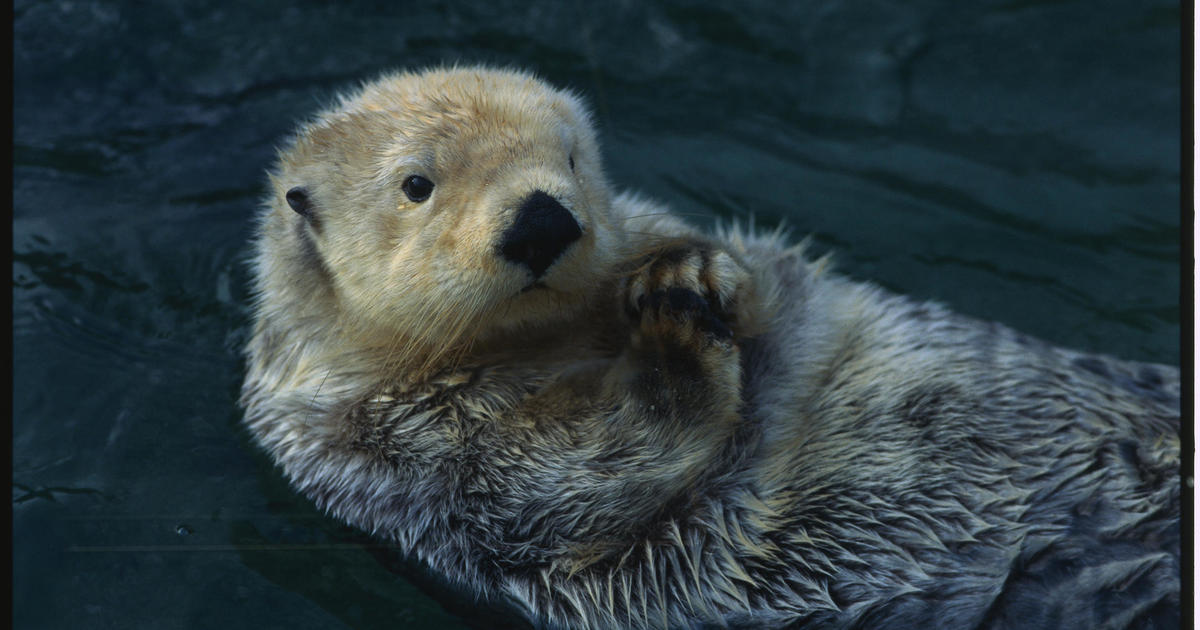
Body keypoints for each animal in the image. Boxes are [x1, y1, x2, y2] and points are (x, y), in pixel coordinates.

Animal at [236, 66, 1180, 624]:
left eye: (571, 159)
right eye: (417, 185)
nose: (542, 219)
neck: (557, 343)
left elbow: (768, 273)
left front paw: (689, 270)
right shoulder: (404, 452)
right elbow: (580, 473)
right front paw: (674, 335)